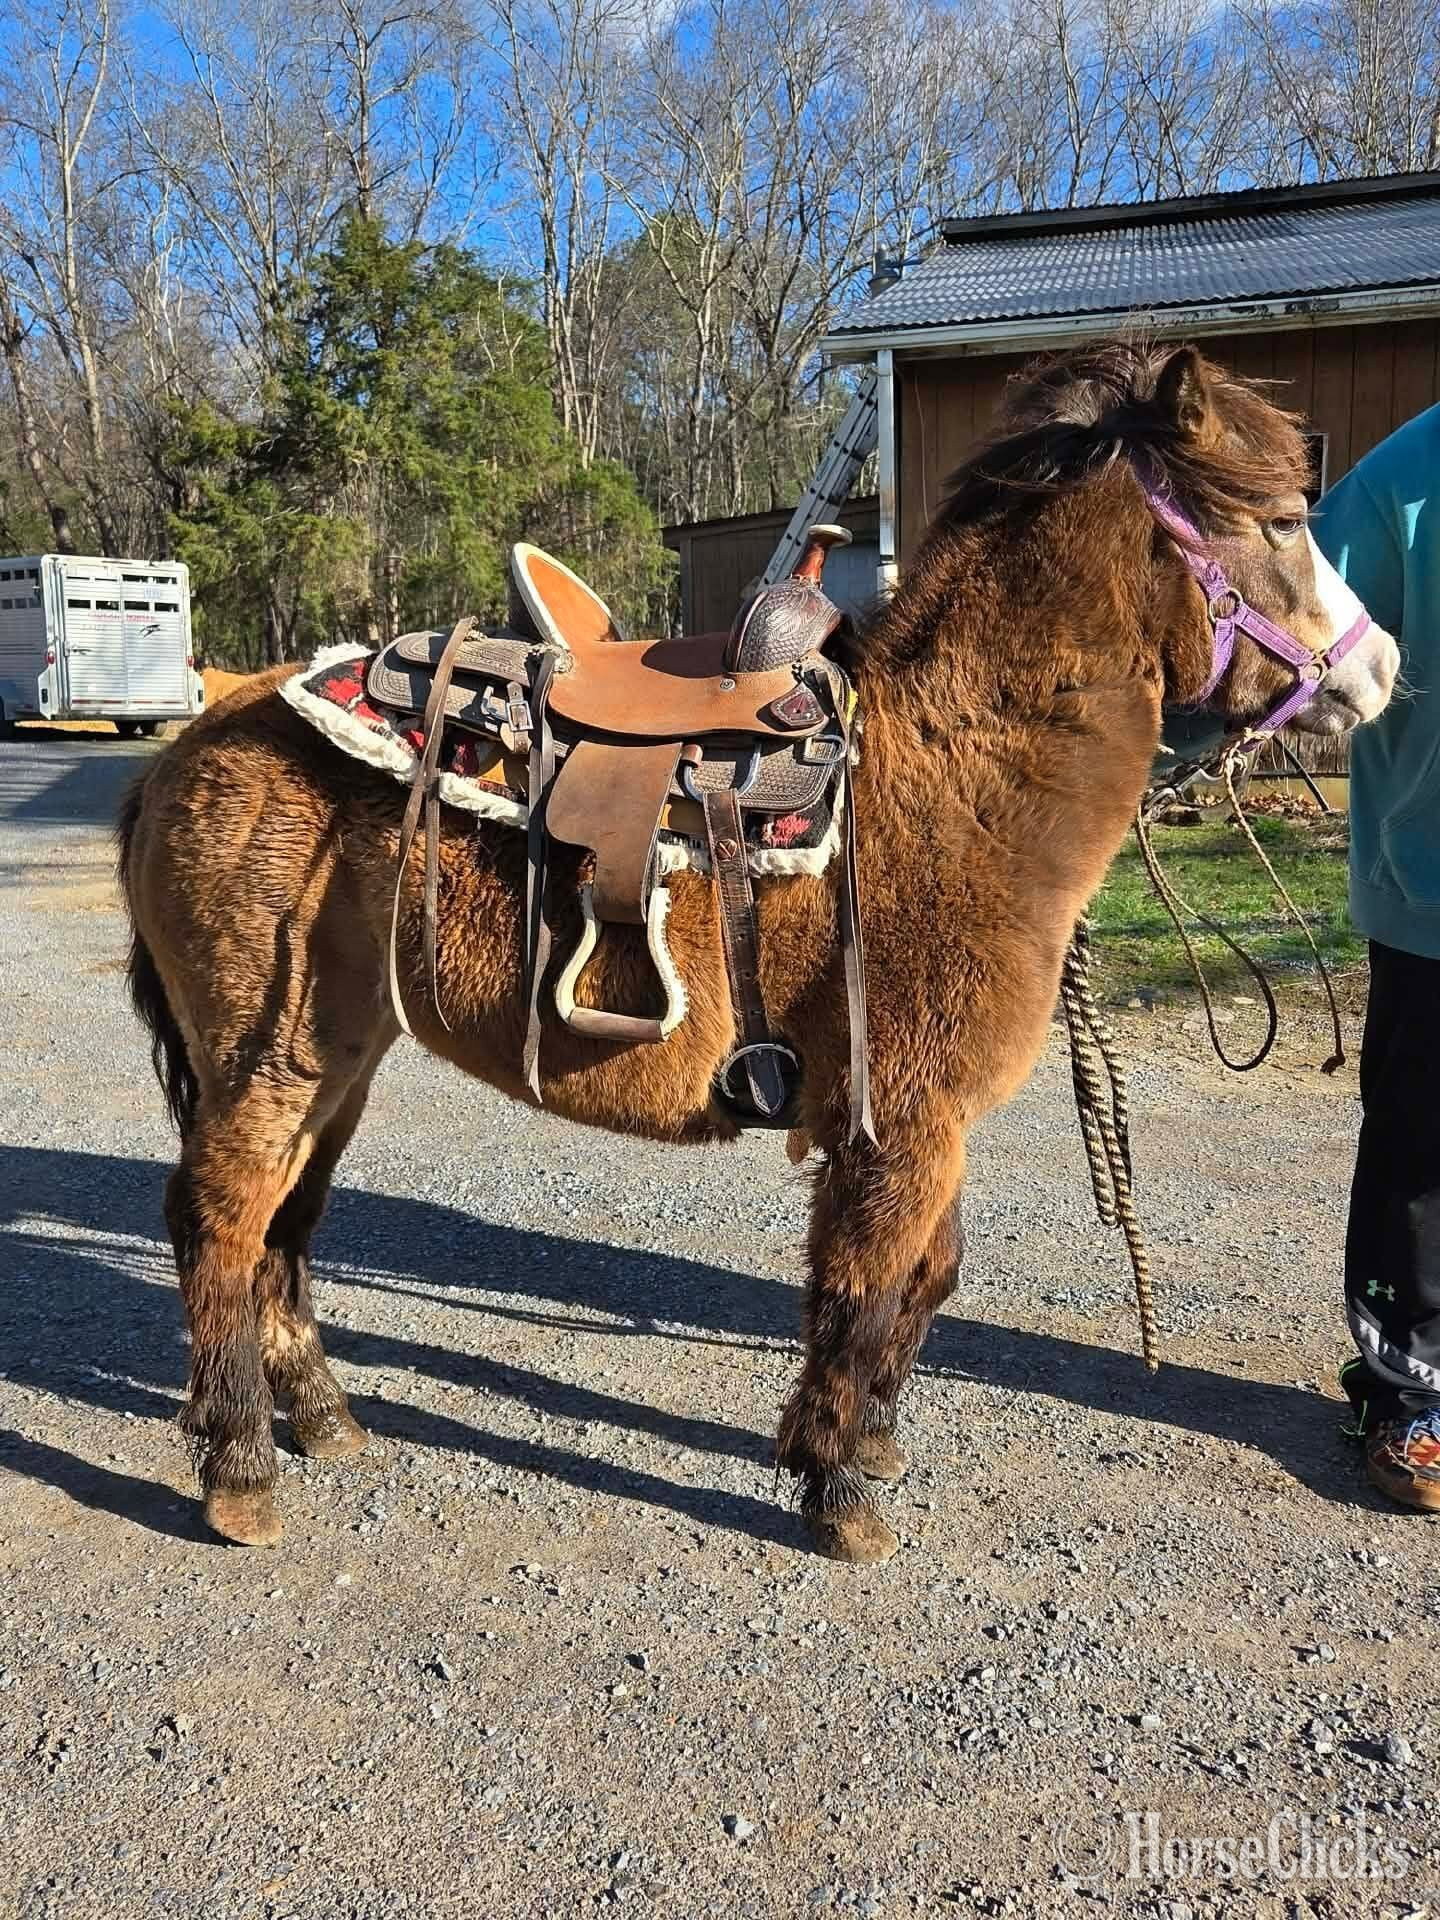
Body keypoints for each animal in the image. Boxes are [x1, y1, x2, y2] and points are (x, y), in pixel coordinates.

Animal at [117, 342, 1398, 1564]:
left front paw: (867, 1445)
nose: (1381, 669)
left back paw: (323, 1415)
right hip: (270, 1061)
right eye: (1283, 520)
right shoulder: (900, 1126)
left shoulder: (923, 1124)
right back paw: (240, 1466)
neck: (954, 778)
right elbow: (866, 1291)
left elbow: (930, 1277)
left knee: (283, 1228)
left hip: (341, 1056)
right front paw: (838, 1490)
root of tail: (200, 732)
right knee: (220, 1225)